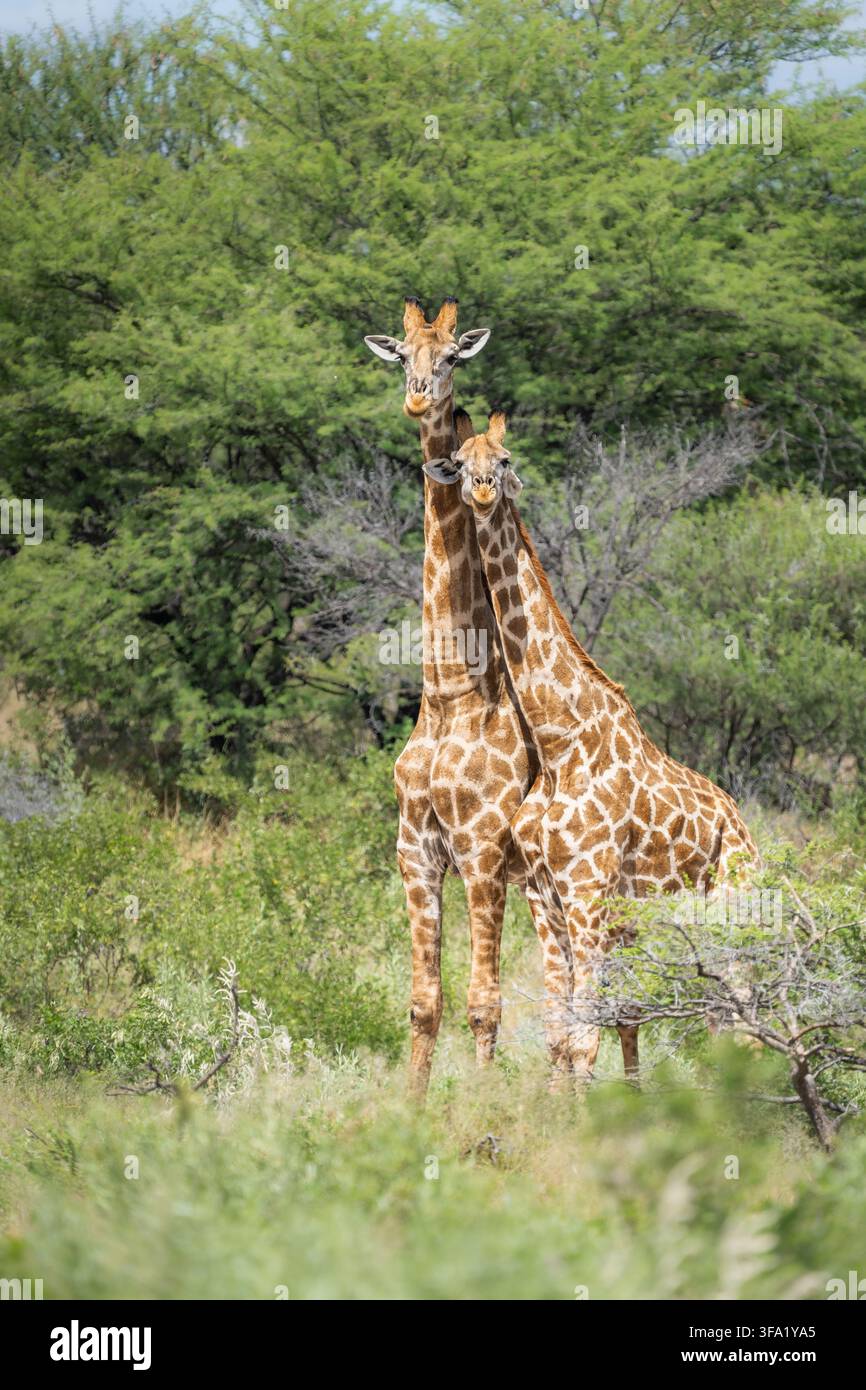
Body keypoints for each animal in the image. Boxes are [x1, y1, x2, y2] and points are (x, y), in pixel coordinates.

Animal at [424, 411, 759, 1083]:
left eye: (504, 459)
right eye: (462, 459)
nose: (481, 491)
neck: (559, 742)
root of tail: (746, 831)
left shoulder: (586, 891)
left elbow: (584, 1041)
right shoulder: (545, 896)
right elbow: (561, 1036)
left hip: (731, 910)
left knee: (750, 1030)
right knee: (725, 1029)